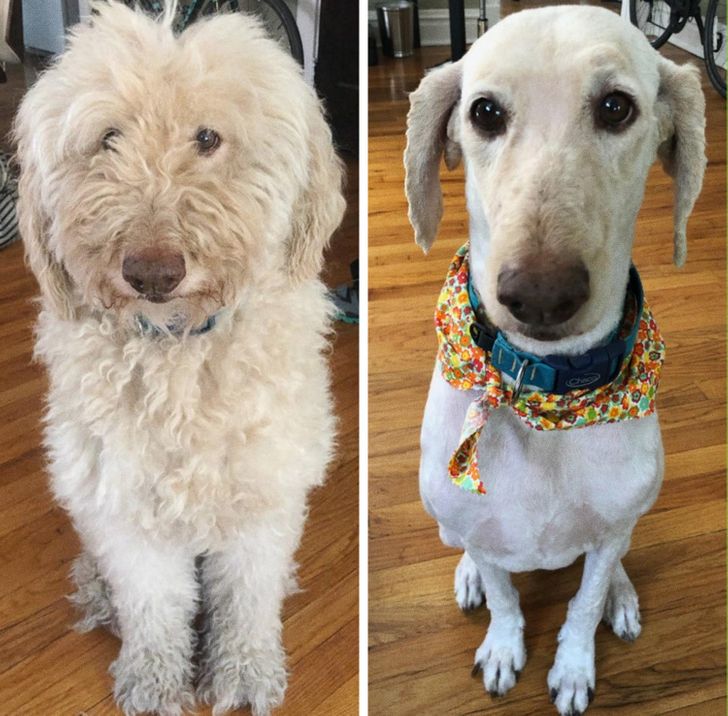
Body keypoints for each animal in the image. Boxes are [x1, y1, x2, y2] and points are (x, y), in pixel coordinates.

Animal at [14, 2, 344, 712]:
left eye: (208, 138)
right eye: (109, 138)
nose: (152, 272)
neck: (180, 355)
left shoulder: (262, 500)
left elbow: (246, 599)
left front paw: (244, 672)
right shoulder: (126, 510)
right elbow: (153, 606)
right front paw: (154, 679)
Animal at [406, 7, 704, 716]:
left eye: (617, 106)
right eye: (484, 111)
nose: (540, 295)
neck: (544, 395)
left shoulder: (612, 527)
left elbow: (584, 602)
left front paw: (572, 666)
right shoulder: (483, 530)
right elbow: (506, 597)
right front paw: (503, 645)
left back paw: (622, 594)